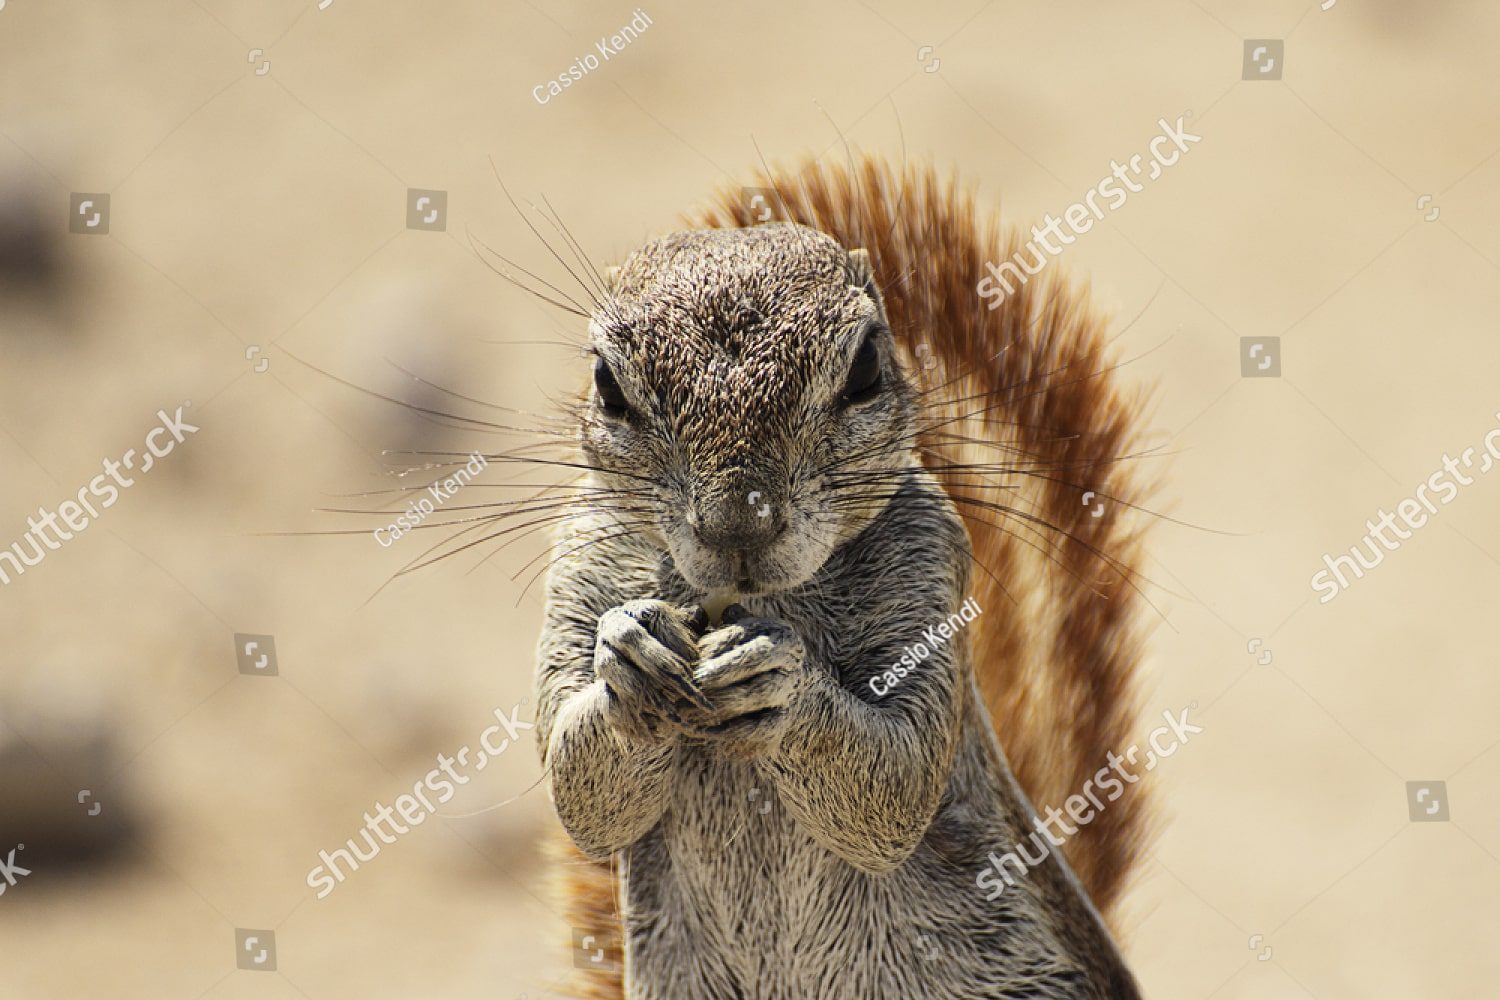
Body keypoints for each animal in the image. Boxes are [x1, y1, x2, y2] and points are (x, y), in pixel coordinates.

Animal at [530, 156, 1152, 999]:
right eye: (605, 383)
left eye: (865, 368)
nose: (737, 525)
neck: (763, 600)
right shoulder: (581, 558)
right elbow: (578, 789)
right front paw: (625, 658)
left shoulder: (929, 564)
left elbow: (895, 789)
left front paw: (784, 685)